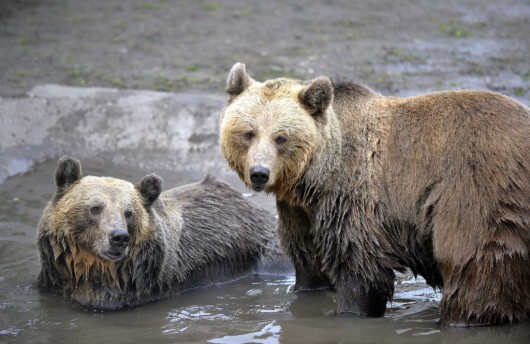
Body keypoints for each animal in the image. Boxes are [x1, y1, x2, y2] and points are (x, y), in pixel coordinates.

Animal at [36, 155, 292, 310]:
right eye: (96, 208)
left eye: (128, 213)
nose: (119, 237)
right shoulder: (52, 281)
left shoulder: (129, 291)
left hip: (266, 249)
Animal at [219, 62, 528, 328]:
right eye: (248, 133)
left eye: (281, 137)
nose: (259, 173)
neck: (315, 178)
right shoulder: (300, 213)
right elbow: (308, 264)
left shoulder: (352, 198)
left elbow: (360, 269)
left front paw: (346, 313)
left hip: (478, 189)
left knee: (475, 267)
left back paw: (461, 319)